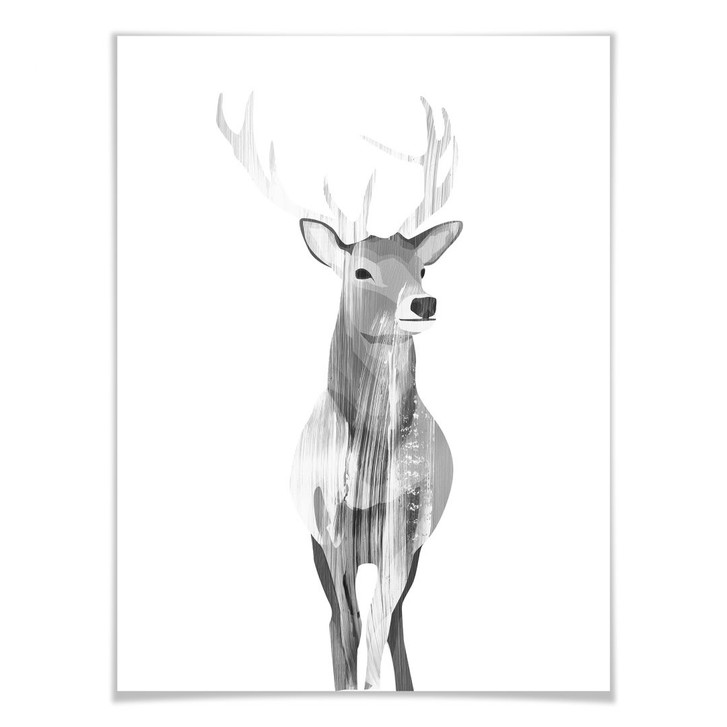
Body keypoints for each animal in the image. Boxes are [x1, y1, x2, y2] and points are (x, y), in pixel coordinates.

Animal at [217, 92, 463, 691]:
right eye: (361, 271)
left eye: (423, 267)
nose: (424, 303)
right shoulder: (326, 526)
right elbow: (348, 624)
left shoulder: (407, 526)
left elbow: (379, 622)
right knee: (338, 619)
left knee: (394, 621)